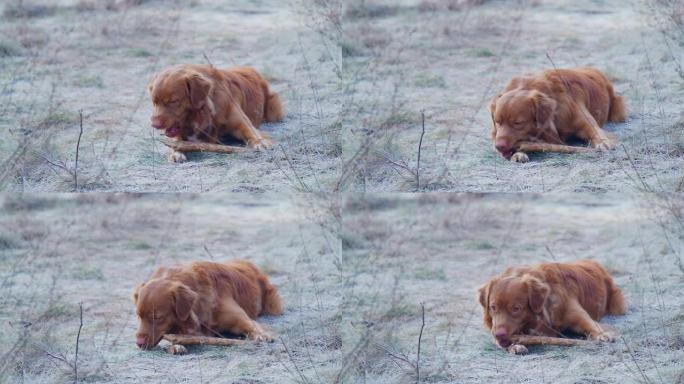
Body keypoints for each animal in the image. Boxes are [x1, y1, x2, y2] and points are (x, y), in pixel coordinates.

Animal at [132, 260, 282, 352]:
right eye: (138, 316)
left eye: (158, 317)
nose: (138, 343)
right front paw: (175, 345)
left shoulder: (243, 319)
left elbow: (253, 326)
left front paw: (262, 335)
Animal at [148, 64, 284, 162]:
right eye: (154, 102)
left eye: (173, 101)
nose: (154, 125)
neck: (202, 115)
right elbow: (176, 141)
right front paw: (176, 153)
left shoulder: (242, 123)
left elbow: (252, 133)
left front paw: (260, 143)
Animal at [476, 260, 624, 354]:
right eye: (493, 307)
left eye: (516, 308)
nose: (498, 334)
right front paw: (515, 346)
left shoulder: (579, 316)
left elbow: (592, 326)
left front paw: (602, 335)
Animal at [488, 66, 628, 162]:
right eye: (497, 122)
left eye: (518, 123)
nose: (499, 146)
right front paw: (517, 154)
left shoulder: (585, 122)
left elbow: (595, 131)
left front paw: (603, 143)